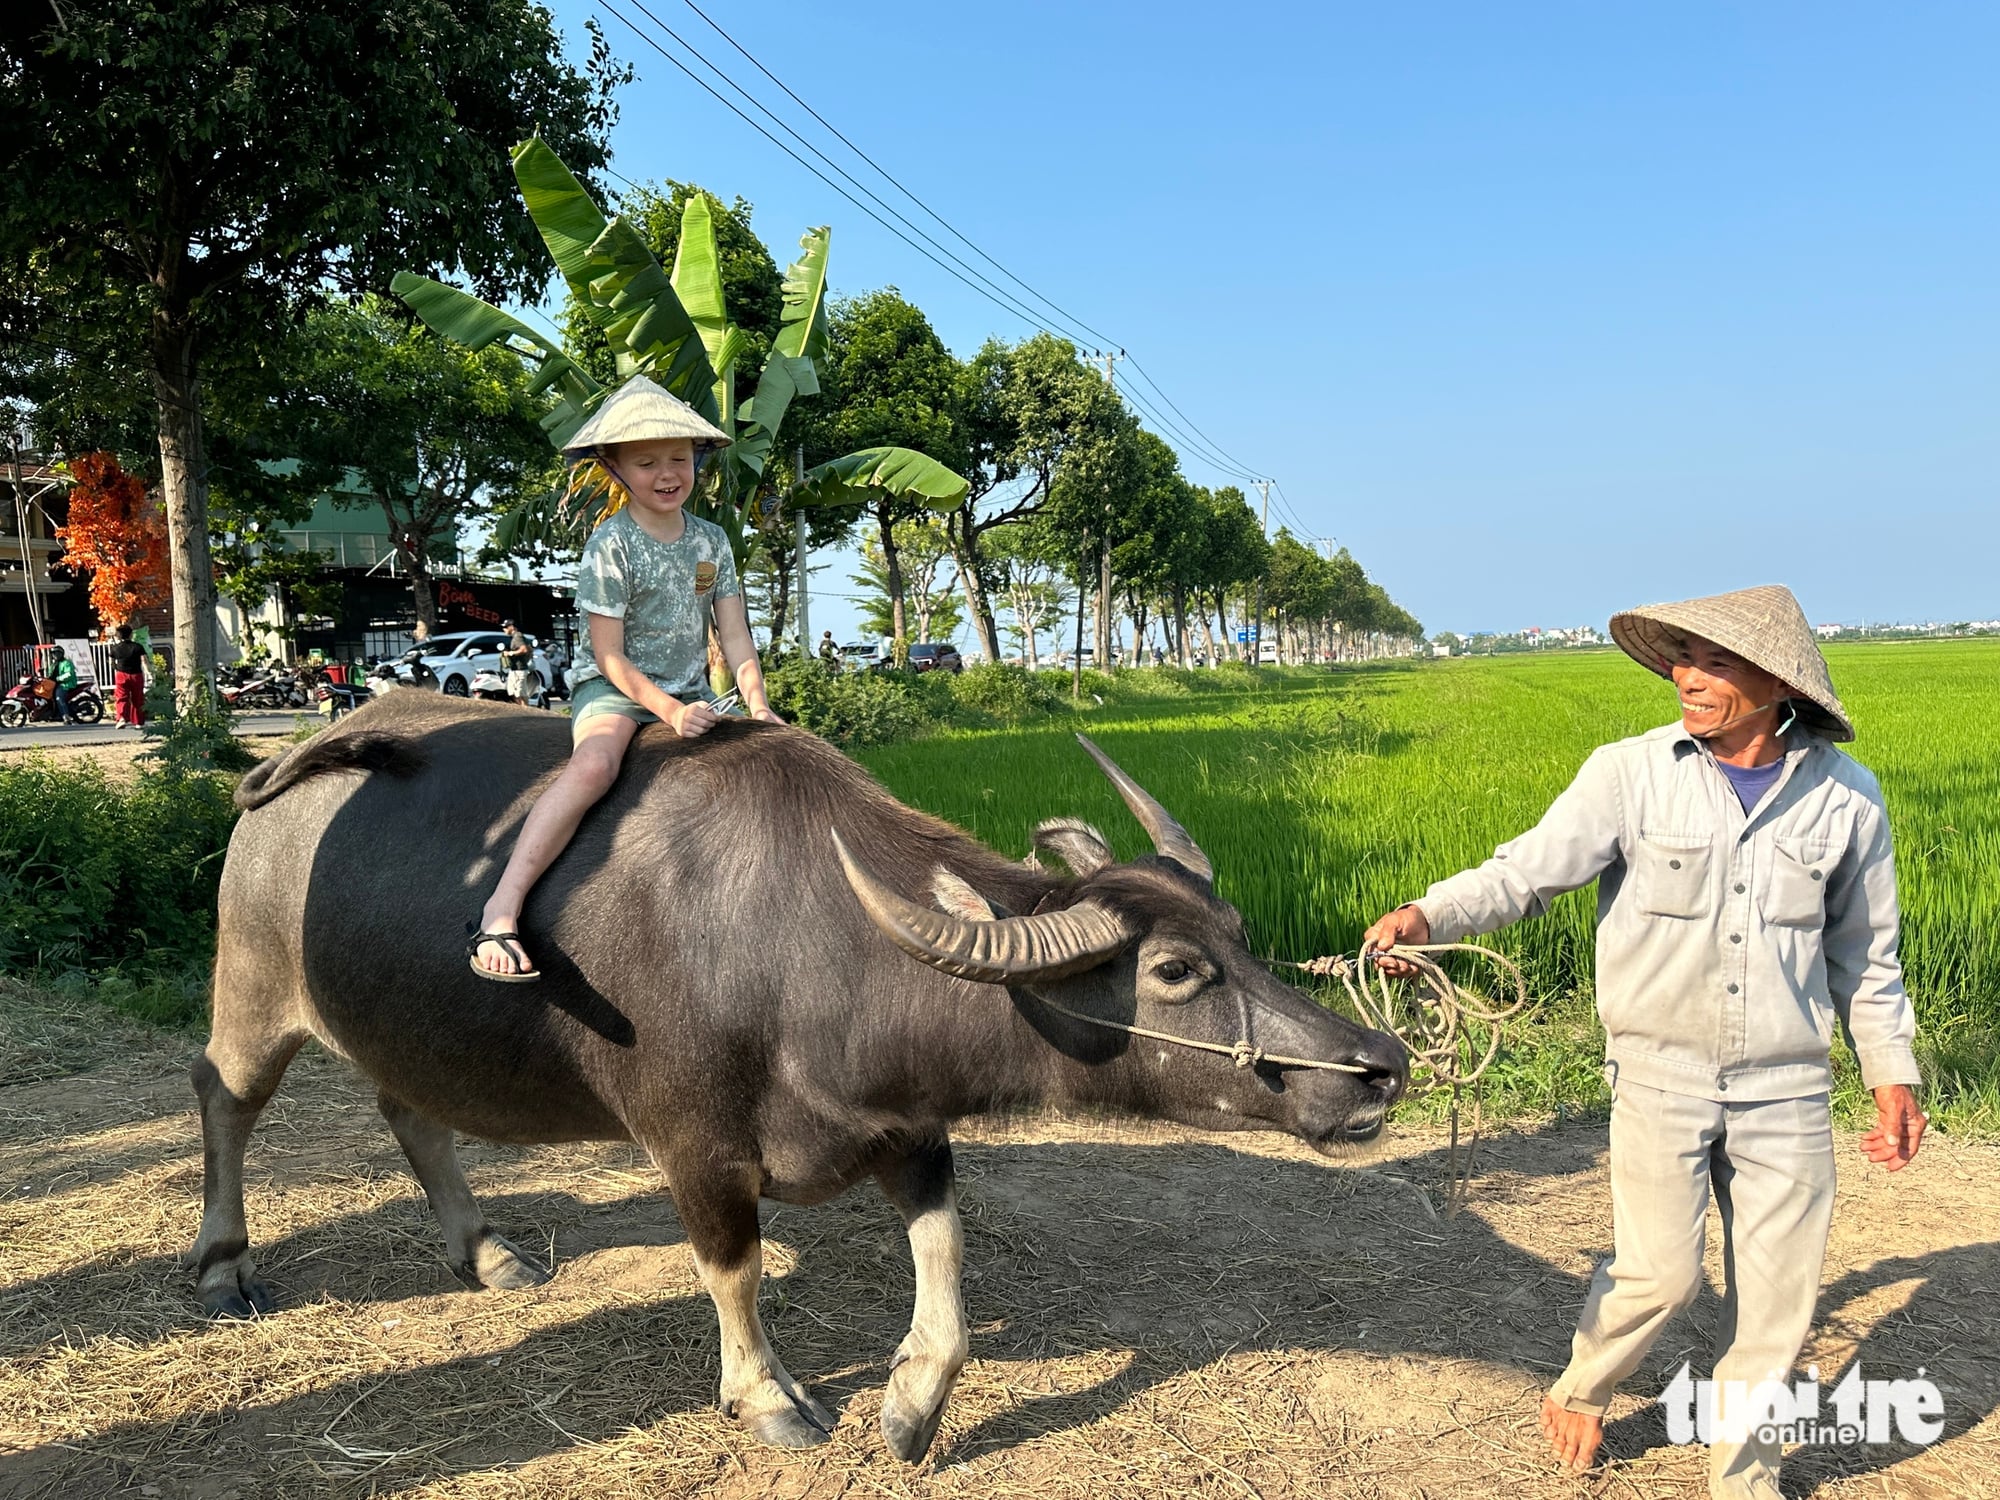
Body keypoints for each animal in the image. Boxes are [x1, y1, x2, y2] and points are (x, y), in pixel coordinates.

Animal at [193, 692, 1406, 1460]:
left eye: (1238, 935)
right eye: (1174, 970)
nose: (1380, 1068)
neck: (803, 950)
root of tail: (287, 774)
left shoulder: (909, 1132)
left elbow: (946, 1271)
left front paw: (910, 1412)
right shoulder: (692, 1147)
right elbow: (732, 1270)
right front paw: (768, 1399)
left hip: (401, 1025)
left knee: (410, 1109)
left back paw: (484, 1251)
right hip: (253, 989)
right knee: (224, 1096)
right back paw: (222, 1264)